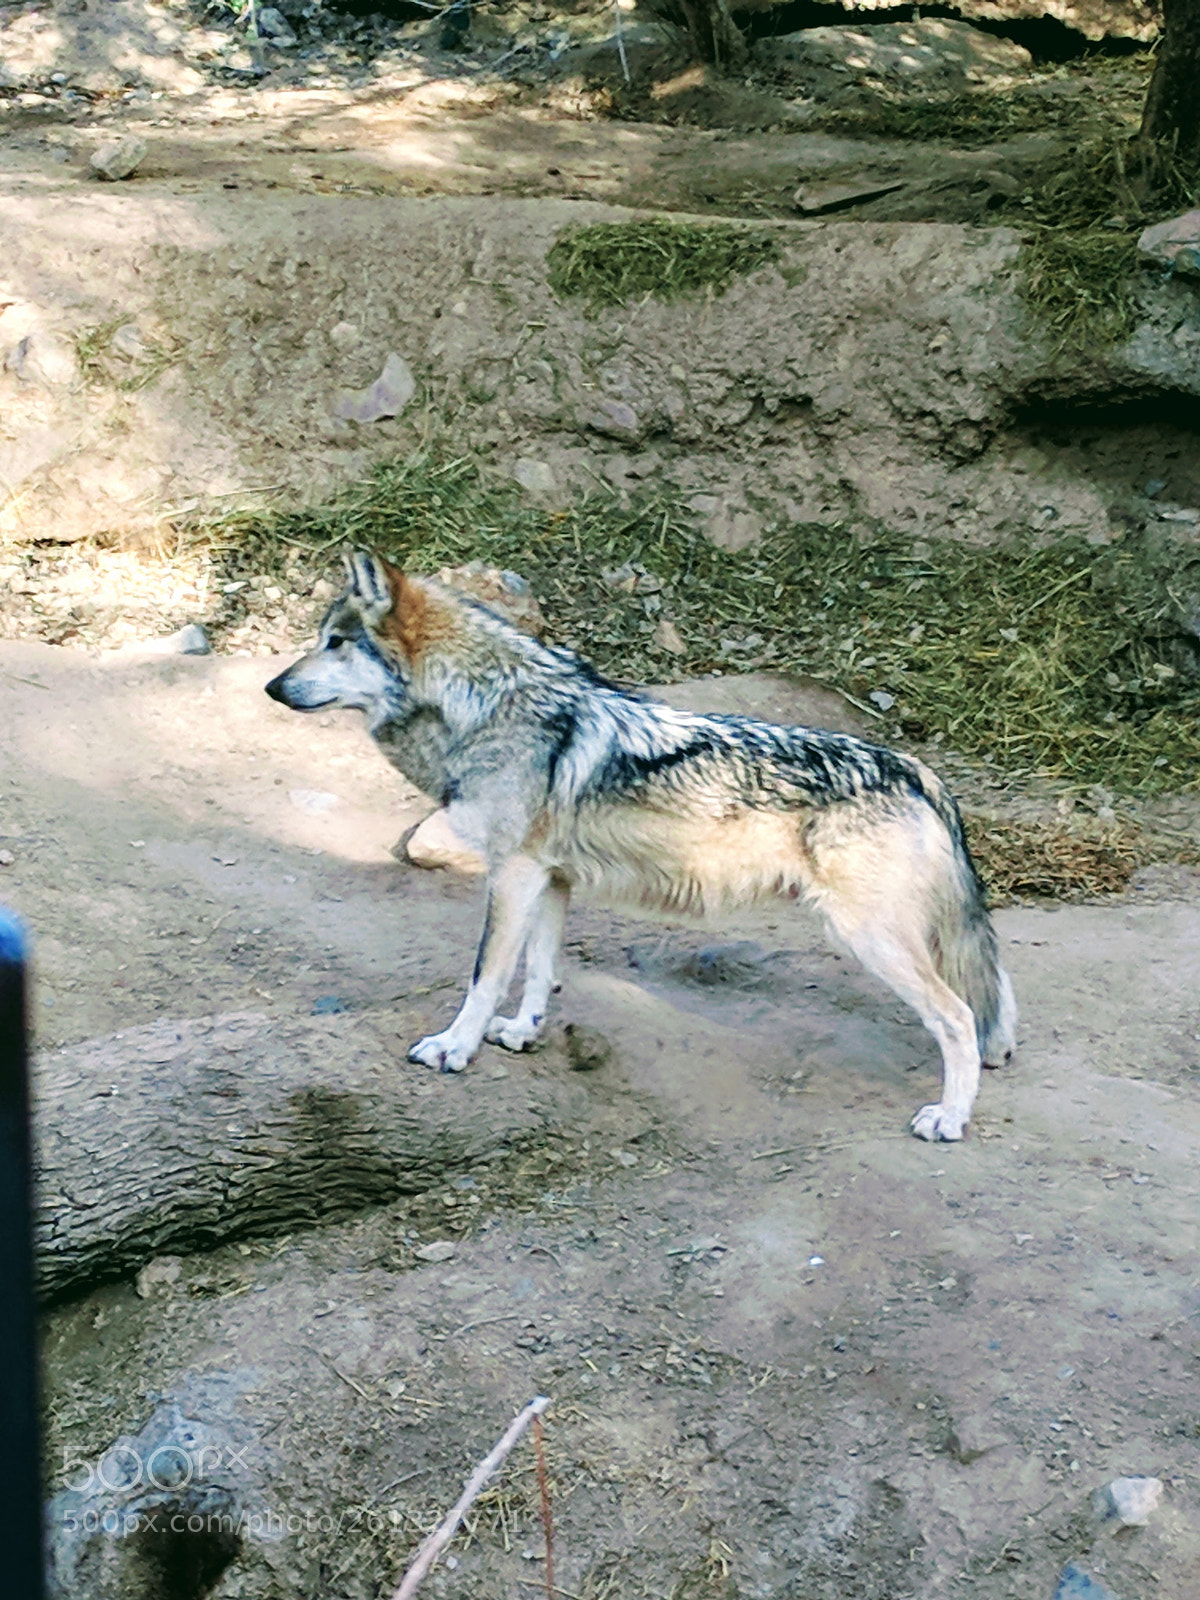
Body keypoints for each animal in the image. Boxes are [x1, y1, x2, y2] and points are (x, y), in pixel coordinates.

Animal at [266, 552, 1017, 1142]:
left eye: (335, 642)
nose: (274, 686)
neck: (486, 707)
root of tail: (917, 770)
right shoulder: (550, 877)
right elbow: (539, 971)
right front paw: (523, 1033)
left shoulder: (511, 874)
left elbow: (484, 976)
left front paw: (455, 1048)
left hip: (869, 939)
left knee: (957, 1018)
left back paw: (950, 1119)